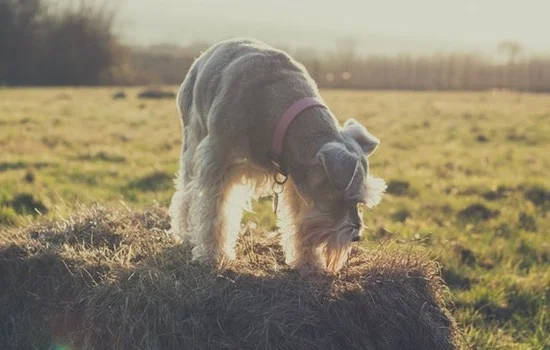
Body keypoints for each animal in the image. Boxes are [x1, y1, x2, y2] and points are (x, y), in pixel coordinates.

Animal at [168, 38, 388, 274]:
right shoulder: (218, 162)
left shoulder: (296, 180)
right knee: (186, 192)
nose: (357, 237)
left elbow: (298, 221)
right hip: (192, 141)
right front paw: (211, 255)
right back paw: (186, 232)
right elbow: (215, 213)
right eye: (346, 199)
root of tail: (205, 54)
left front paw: (308, 261)